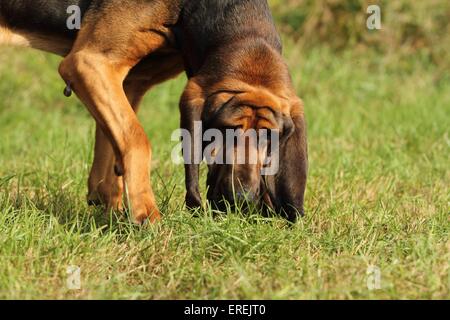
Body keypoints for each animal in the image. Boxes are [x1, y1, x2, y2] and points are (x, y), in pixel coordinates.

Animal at [0, 0, 308, 224]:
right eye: (225, 130)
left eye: (269, 138)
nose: (243, 199)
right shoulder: (89, 63)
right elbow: (137, 140)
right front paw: (147, 216)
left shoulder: (127, 82)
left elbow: (112, 152)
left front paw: (112, 211)